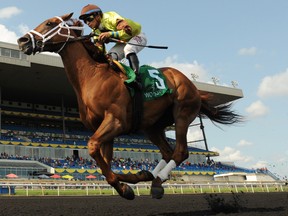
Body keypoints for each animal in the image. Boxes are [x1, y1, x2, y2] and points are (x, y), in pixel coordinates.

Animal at [18, 13, 242, 199]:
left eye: (49, 23)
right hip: (152, 126)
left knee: (180, 153)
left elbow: (92, 147)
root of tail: (192, 85)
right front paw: (122, 183)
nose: (22, 41)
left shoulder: (116, 122)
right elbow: (104, 160)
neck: (92, 76)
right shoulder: (103, 128)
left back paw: (155, 182)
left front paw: (124, 187)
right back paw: (145, 176)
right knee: (167, 153)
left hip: (182, 114)